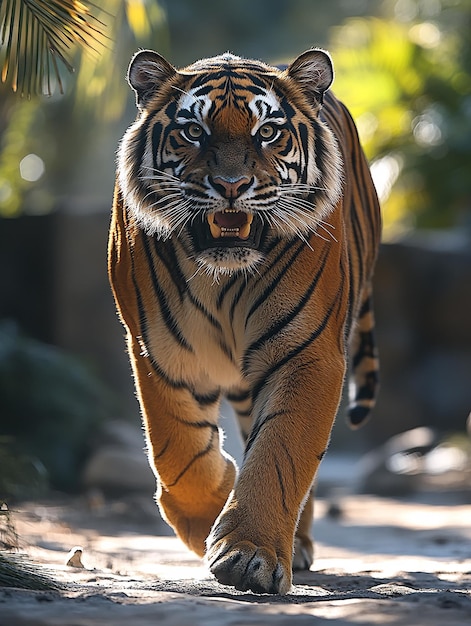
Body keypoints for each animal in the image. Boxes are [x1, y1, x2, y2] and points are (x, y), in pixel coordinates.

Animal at [109, 46, 382, 592]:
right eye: (194, 132)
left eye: (268, 132)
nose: (231, 186)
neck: (223, 277)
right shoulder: (159, 350)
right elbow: (177, 451)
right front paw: (209, 516)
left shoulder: (308, 353)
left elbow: (281, 452)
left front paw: (250, 554)